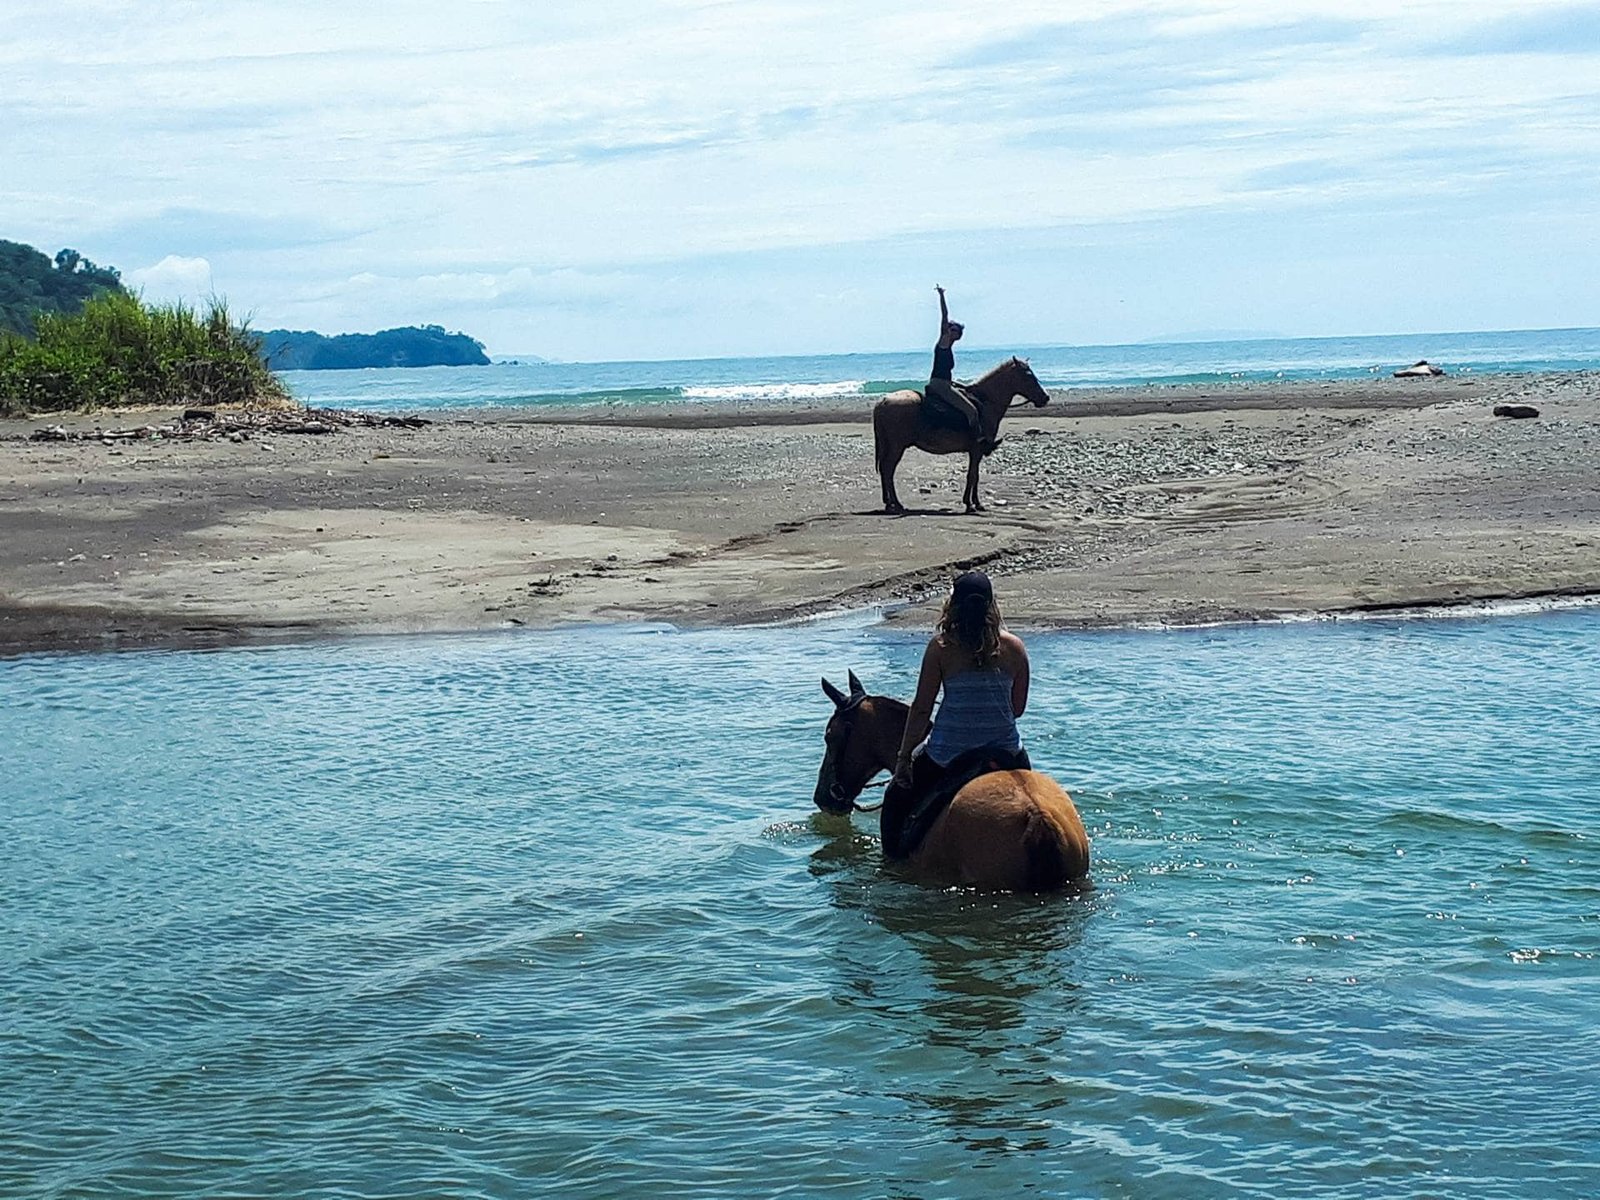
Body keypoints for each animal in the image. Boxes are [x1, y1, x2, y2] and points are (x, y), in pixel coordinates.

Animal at [876, 352, 1049, 512]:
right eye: (1028, 376)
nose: (1045, 398)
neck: (985, 403)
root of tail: (883, 401)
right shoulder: (977, 449)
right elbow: (972, 475)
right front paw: (971, 504)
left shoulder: (976, 452)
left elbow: (975, 476)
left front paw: (975, 503)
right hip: (897, 447)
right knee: (888, 469)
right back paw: (896, 504)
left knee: (885, 469)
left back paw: (889, 503)